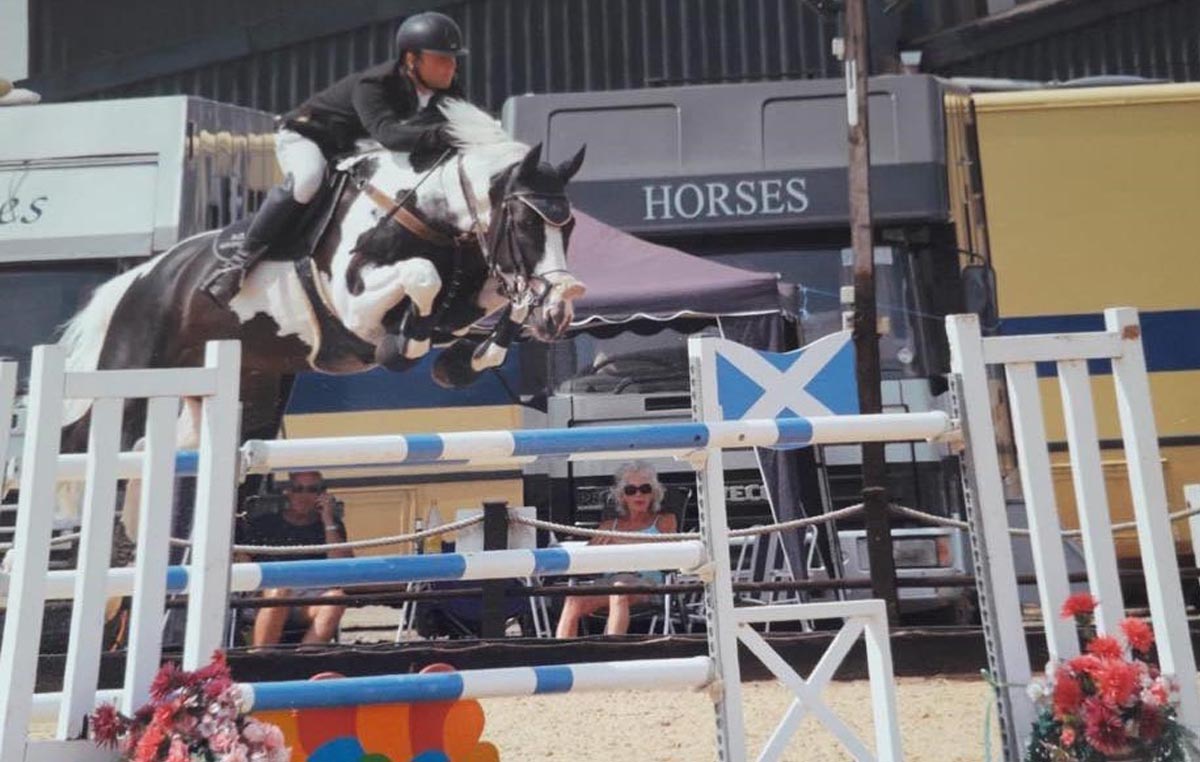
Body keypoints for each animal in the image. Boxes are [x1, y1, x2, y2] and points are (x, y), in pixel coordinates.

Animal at [55, 99, 587, 477]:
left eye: (570, 227)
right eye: (525, 223)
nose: (559, 314)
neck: (427, 211)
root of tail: (139, 278)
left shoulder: (465, 297)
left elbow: (487, 305)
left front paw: (462, 361)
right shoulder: (355, 304)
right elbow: (422, 277)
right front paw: (404, 346)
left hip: (250, 385)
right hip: (132, 375)